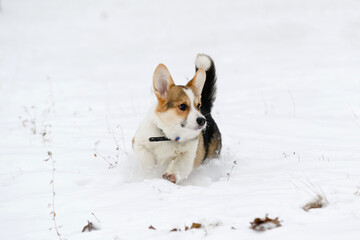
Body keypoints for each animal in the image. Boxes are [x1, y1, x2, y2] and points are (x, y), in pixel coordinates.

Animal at [132, 53, 221, 183]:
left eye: (198, 105)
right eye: (182, 106)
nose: (202, 120)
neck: (168, 135)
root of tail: (207, 111)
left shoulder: (189, 151)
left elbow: (180, 163)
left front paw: (171, 174)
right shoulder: (139, 142)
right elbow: (146, 158)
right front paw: (150, 172)